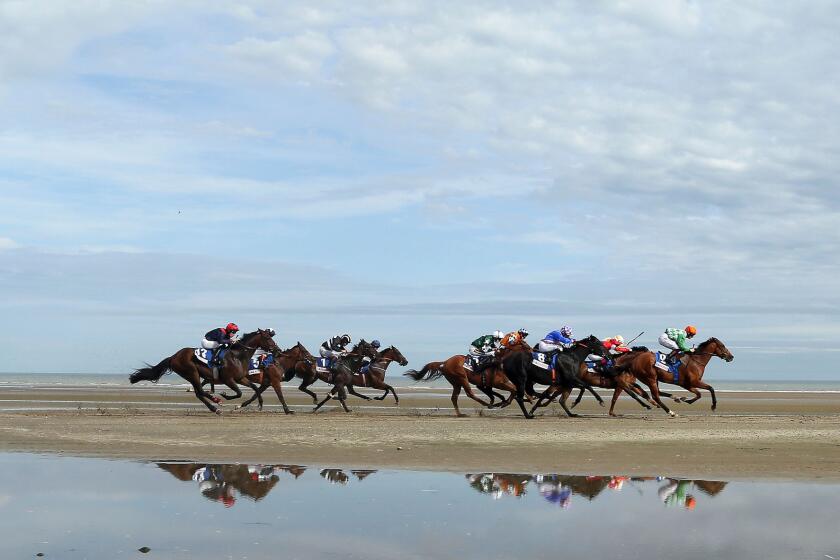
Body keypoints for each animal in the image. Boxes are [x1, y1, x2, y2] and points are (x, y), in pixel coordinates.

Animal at [129, 330, 278, 414]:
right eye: (268, 338)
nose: (277, 349)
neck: (237, 356)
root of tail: (173, 356)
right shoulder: (228, 379)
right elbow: (239, 393)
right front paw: (224, 395)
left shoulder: (240, 378)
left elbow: (255, 388)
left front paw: (260, 404)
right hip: (191, 372)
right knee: (200, 391)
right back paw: (216, 401)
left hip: (192, 375)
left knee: (198, 393)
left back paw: (214, 407)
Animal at [402, 342, 532, 416]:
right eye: (525, 345)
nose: (532, 351)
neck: (499, 362)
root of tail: (445, 362)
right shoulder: (498, 383)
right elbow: (513, 389)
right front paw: (503, 403)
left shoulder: (492, 384)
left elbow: (509, 390)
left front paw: (527, 398)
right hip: (462, 377)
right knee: (469, 393)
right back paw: (485, 404)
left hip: (456, 383)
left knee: (454, 398)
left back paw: (460, 413)